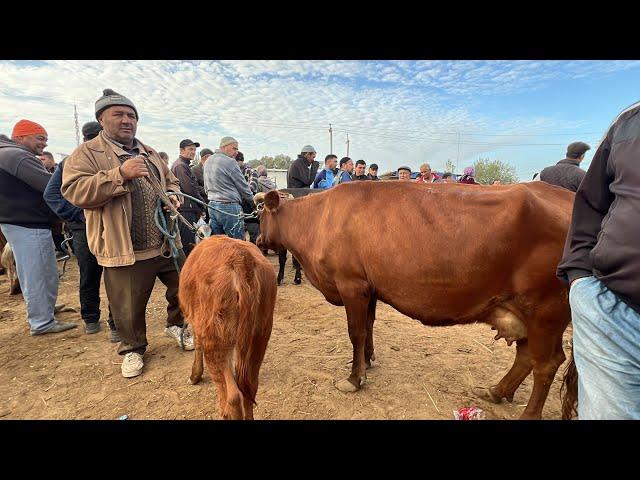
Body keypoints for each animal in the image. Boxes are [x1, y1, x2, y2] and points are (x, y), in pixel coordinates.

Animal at [181, 236, 278, 420]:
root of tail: (241, 258)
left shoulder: (198, 325)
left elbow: (197, 344)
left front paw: (194, 375)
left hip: (215, 341)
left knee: (232, 396)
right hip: (260, 335)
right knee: (250, 386)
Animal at [258, 181, 576, 420]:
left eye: (260, 215)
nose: (259, 241)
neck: (320, 218)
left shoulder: (352, 285)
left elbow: (356, 332)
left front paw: (354, 378)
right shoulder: (369, 288)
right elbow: (369, 327)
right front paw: (368, 362)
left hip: (546, 310)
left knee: (546, 363)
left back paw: (526, 413)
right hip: (526, 311)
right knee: (526, 356)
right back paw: (496, 391)